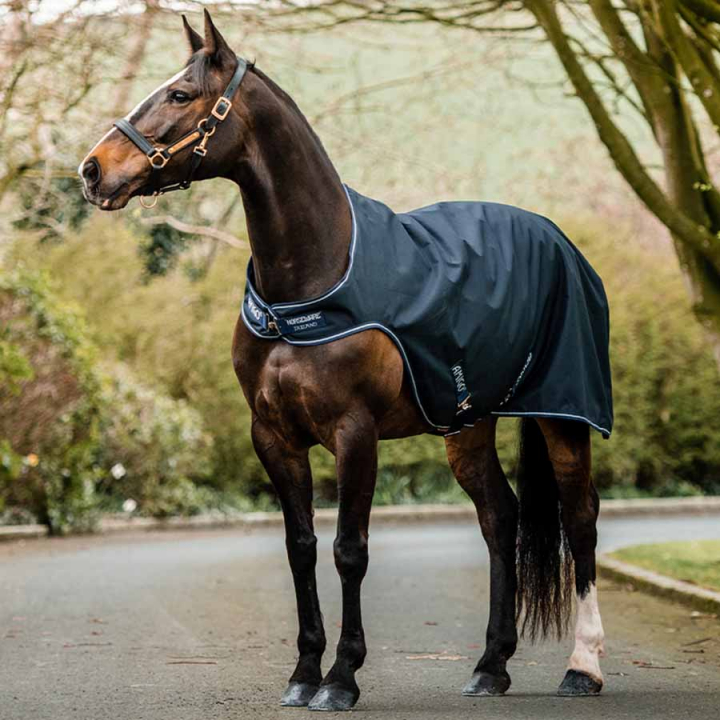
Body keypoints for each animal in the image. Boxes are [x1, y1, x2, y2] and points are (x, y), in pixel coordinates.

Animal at [79, 10, 608, 712]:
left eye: (180, 94)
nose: (91, 170)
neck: (311, 277)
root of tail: (559, 240)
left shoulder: (355, 434)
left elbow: (348, 550)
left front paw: (341, 678)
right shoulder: (274, 437)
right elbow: (301, 547)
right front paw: (304, 672)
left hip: (563, 415)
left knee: (580, 518)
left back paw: (583, 667)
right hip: (467, 425)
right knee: (501, 517)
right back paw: (490, 665)